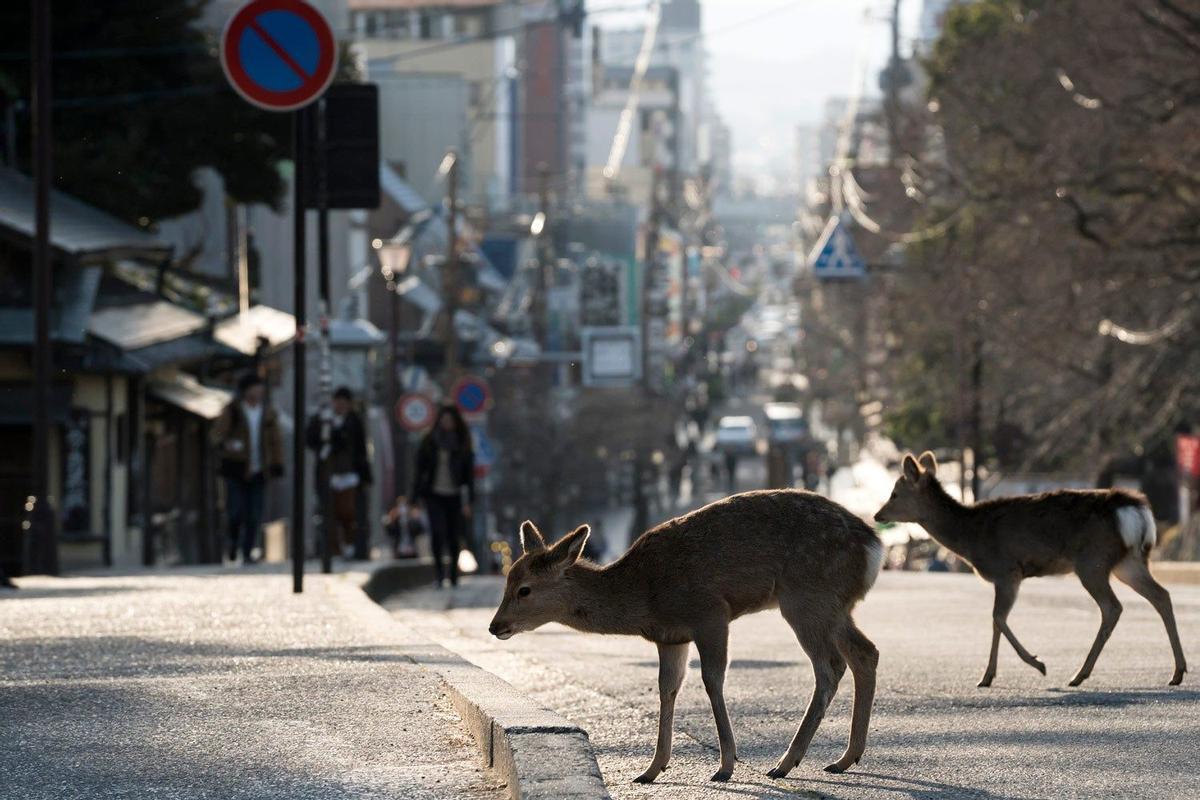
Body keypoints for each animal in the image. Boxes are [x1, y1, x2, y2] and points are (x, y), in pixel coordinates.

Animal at [482, 491, 888, 786]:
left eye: (524, 589)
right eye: (507, 580)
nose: (495, 625)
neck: (644, 597)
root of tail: (874, 548)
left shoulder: (711, 614)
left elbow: (712, 680)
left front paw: (725, 767)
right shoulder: (671, 637)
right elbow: (668, 687)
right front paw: (651, 769)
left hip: (807, 597)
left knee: (830, 665)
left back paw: (786, 763)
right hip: (834, 606)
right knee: (865, 652)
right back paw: (844, 758)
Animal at [878, 450, 1185, 690]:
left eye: (895, 494)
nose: (878, 515)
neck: (970, 537)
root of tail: (1134, 509)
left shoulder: (1006, 570)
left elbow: (998, 618)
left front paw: (1037, 664)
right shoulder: (1005, 577)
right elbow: (995, 621)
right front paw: (987, 676)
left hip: (1092, 561)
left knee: (1113, 607)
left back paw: (1079, 674)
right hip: (1128, 562)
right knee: (1161, 595)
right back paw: (1177, 671)